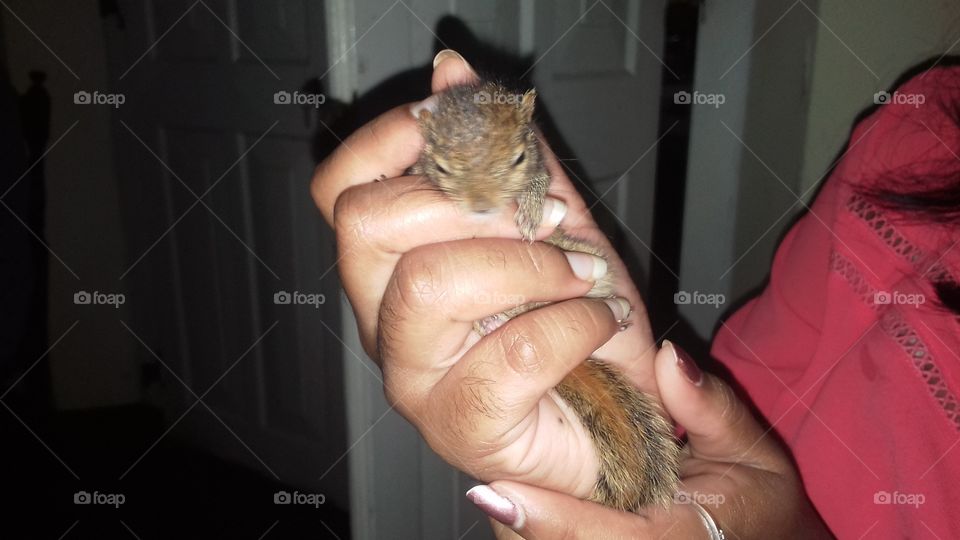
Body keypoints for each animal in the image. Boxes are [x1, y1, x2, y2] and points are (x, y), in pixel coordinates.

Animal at [411, 80, 680, 511]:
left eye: (519, 158)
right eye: (441, 168)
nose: (481, 207)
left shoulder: (540, 169)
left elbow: (539, 183)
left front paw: (532, 210)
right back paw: (493, 320)